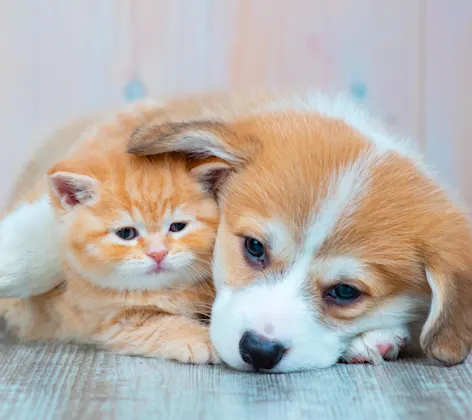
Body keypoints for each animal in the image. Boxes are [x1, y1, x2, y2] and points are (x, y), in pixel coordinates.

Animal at [0, 103, 229, 362]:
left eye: (177, 227)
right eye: (126, 233)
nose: (158, 254)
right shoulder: (109, 322)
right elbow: (154, 326)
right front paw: (202, 340)